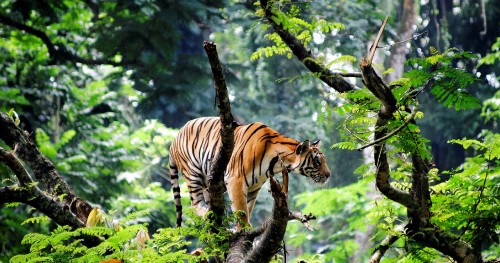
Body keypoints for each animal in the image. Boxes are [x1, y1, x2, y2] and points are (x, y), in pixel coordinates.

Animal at [169, 117, 332, 229]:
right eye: (317, 161)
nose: (329, 175)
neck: (277, 163)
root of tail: (175, 137)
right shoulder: (236, 179)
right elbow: (241, 209)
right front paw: (244, 229)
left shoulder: (254, 187)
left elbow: (247, 207)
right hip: (193, 174)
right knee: (195, 204)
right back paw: (210, 216)